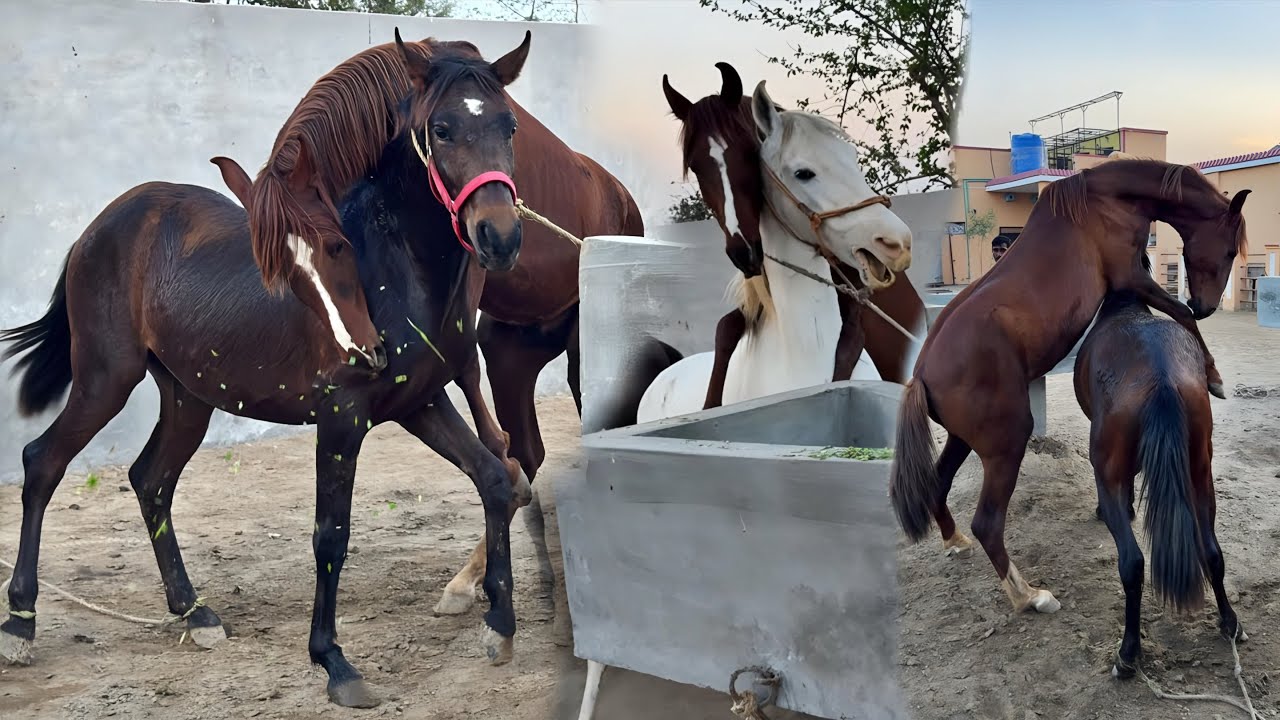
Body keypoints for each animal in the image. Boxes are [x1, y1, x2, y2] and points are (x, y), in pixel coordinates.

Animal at [0, 32, 543, 709]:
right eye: (441, 129)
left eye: (509, 126)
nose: (499, 236)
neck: (386, 266)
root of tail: (99, 227)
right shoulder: (343, 416)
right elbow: (330, 534)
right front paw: (334, 662)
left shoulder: (420, 402)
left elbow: (496, 479)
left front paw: (500, 625)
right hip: (106, 379)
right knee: (42, 462)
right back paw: (20, 622)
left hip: (188, 396)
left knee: (151, 479)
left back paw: (194, 612)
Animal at [889, 157, 1248, 615]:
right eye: (1228, 250)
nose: (1207, 307)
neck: (1104, 200)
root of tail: (921, 374)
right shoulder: (1131, 276)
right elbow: (1179, 314)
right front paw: (1214, 375)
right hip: (1007, 443)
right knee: (988, 523)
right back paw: (1029, 596)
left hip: (962, 439)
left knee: (940, 486)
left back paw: (956, 541)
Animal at [1073, 286, 1244, 679]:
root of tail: (1161, 374)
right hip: (1200, 474)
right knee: (1212, 551)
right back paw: (1230, 623)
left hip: (1107, 473)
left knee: (1132, 562)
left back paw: (1128, 652)